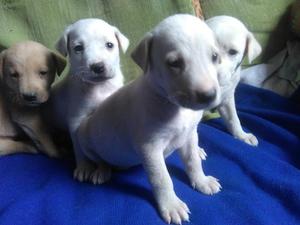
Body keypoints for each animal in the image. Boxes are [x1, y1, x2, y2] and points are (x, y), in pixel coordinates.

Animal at [47, 18, 129, 181]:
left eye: (109, 45)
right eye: (78, 48)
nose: (98, 67)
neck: (100, 87)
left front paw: (102, 169)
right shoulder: (76, 120)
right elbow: (80, 149)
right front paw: (85, 168)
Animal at [76, 14, 223, 224]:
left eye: (214, 57)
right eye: (174, 63)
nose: (208, 96)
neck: (172, 104)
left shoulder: (189, 135)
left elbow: (193, 161)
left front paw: (201, 181)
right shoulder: (150, 148)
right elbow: (162, 179)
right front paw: (172, 205)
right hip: (84, 137)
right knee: (99, 159)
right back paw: (102, 171)